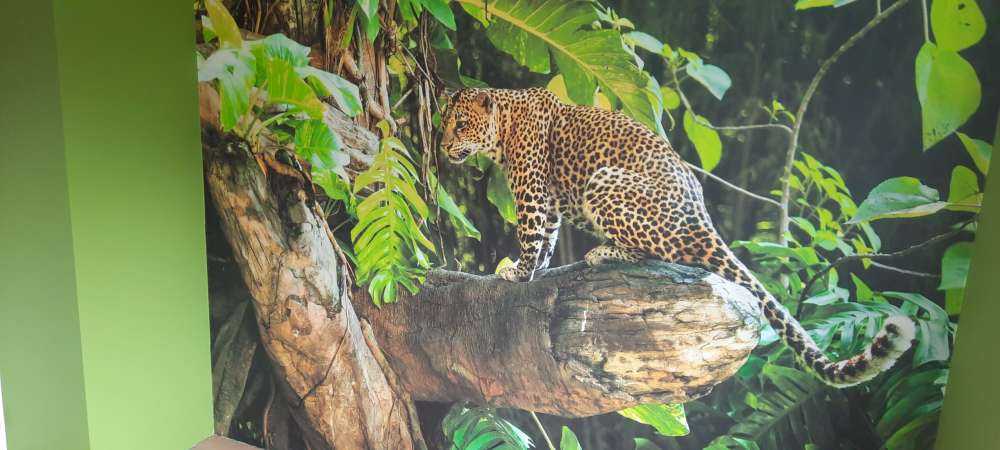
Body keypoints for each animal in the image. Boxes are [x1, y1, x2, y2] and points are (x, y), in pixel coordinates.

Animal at [440, 87, 916, 387]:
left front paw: (516, 272)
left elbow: (532, 233)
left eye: (461, 125)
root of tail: (703, 221)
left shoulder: (533, 191)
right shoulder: (551, 200)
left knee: (662, 253)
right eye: (445, 123)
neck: (504, 126)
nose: (443, 147)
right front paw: (534, 269)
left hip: (605, 182)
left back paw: (603, 252)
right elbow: (548, 239)